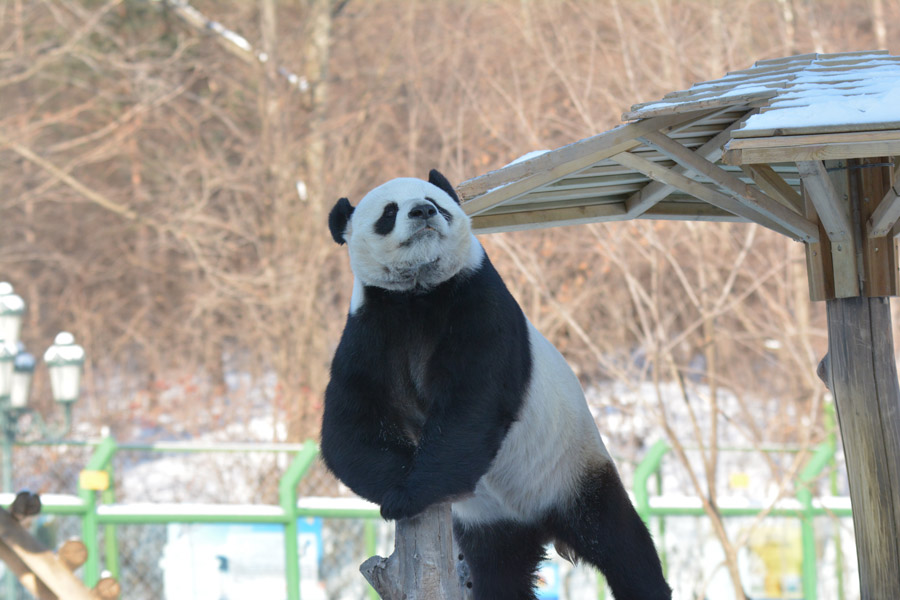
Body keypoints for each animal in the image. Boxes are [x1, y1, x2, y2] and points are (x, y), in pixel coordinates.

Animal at [322, 170, 668, 600]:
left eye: (435, 202)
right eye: (389, 212)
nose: (422, 212)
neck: (420, 292)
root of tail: (540, 523)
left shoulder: (477, 299)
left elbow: (473, 403)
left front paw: (410, 494)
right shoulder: (371, 327)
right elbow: (349, 425)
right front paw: (397, 486)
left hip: (571, 468)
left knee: (617, 540)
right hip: (491, 522)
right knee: (500, 570)